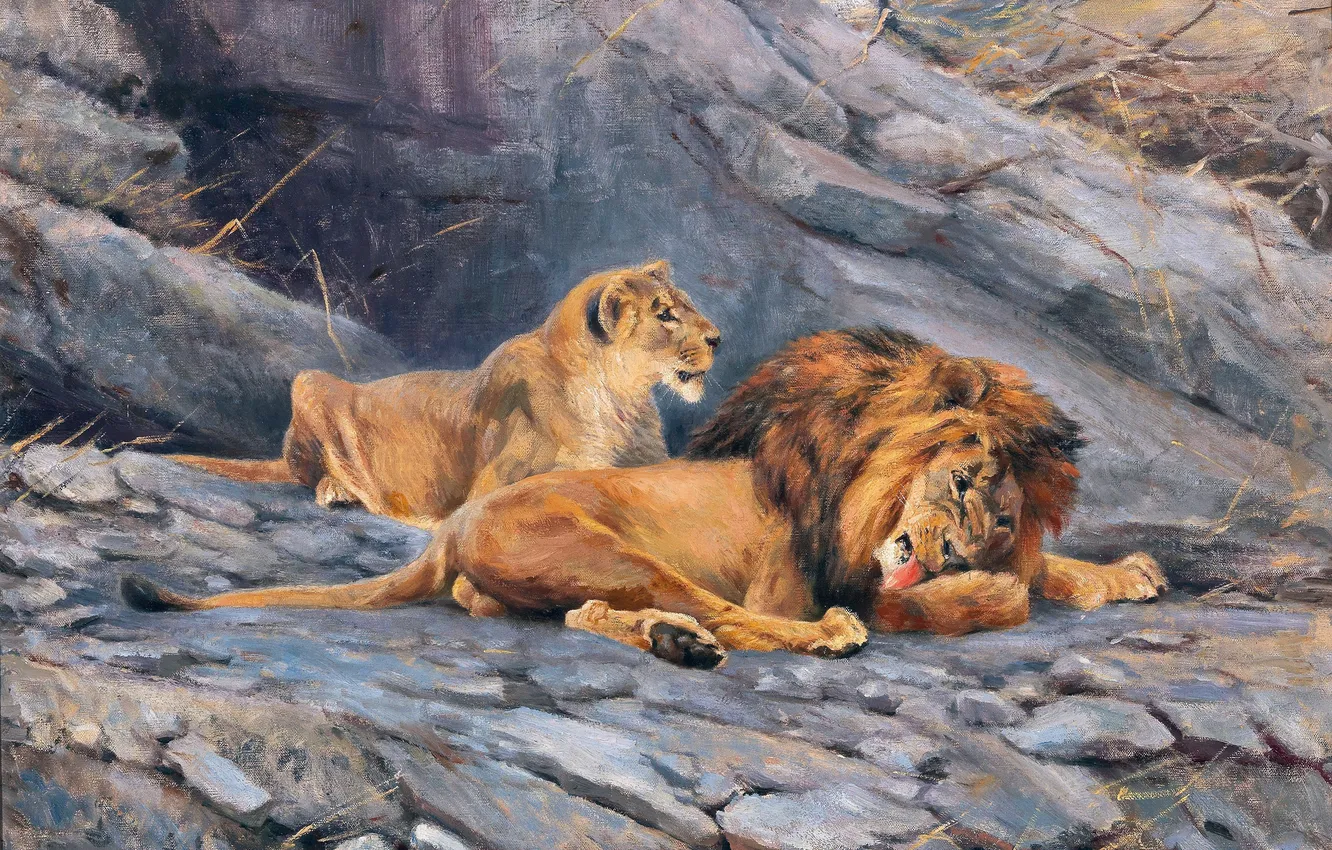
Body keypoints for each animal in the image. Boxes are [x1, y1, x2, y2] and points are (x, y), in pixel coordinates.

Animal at [123, 327, 1165, 669]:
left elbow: (1040, 574)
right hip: (610, 545)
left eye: (992, 523)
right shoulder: (812, 572)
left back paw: (674, 644)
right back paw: (790, 638)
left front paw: (1125, 574)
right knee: (722, 616)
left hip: (568, 574)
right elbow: (978, 603)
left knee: (586, 614)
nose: (943, 551)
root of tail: (450, 531)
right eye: (958, 481)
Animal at [168, 260, 721, 529]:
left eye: (688, 304)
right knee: (306, 471)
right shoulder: (491, 489)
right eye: (665, 315)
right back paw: (338, 491)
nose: (718, 338)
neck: (621, 402)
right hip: (312, 383)